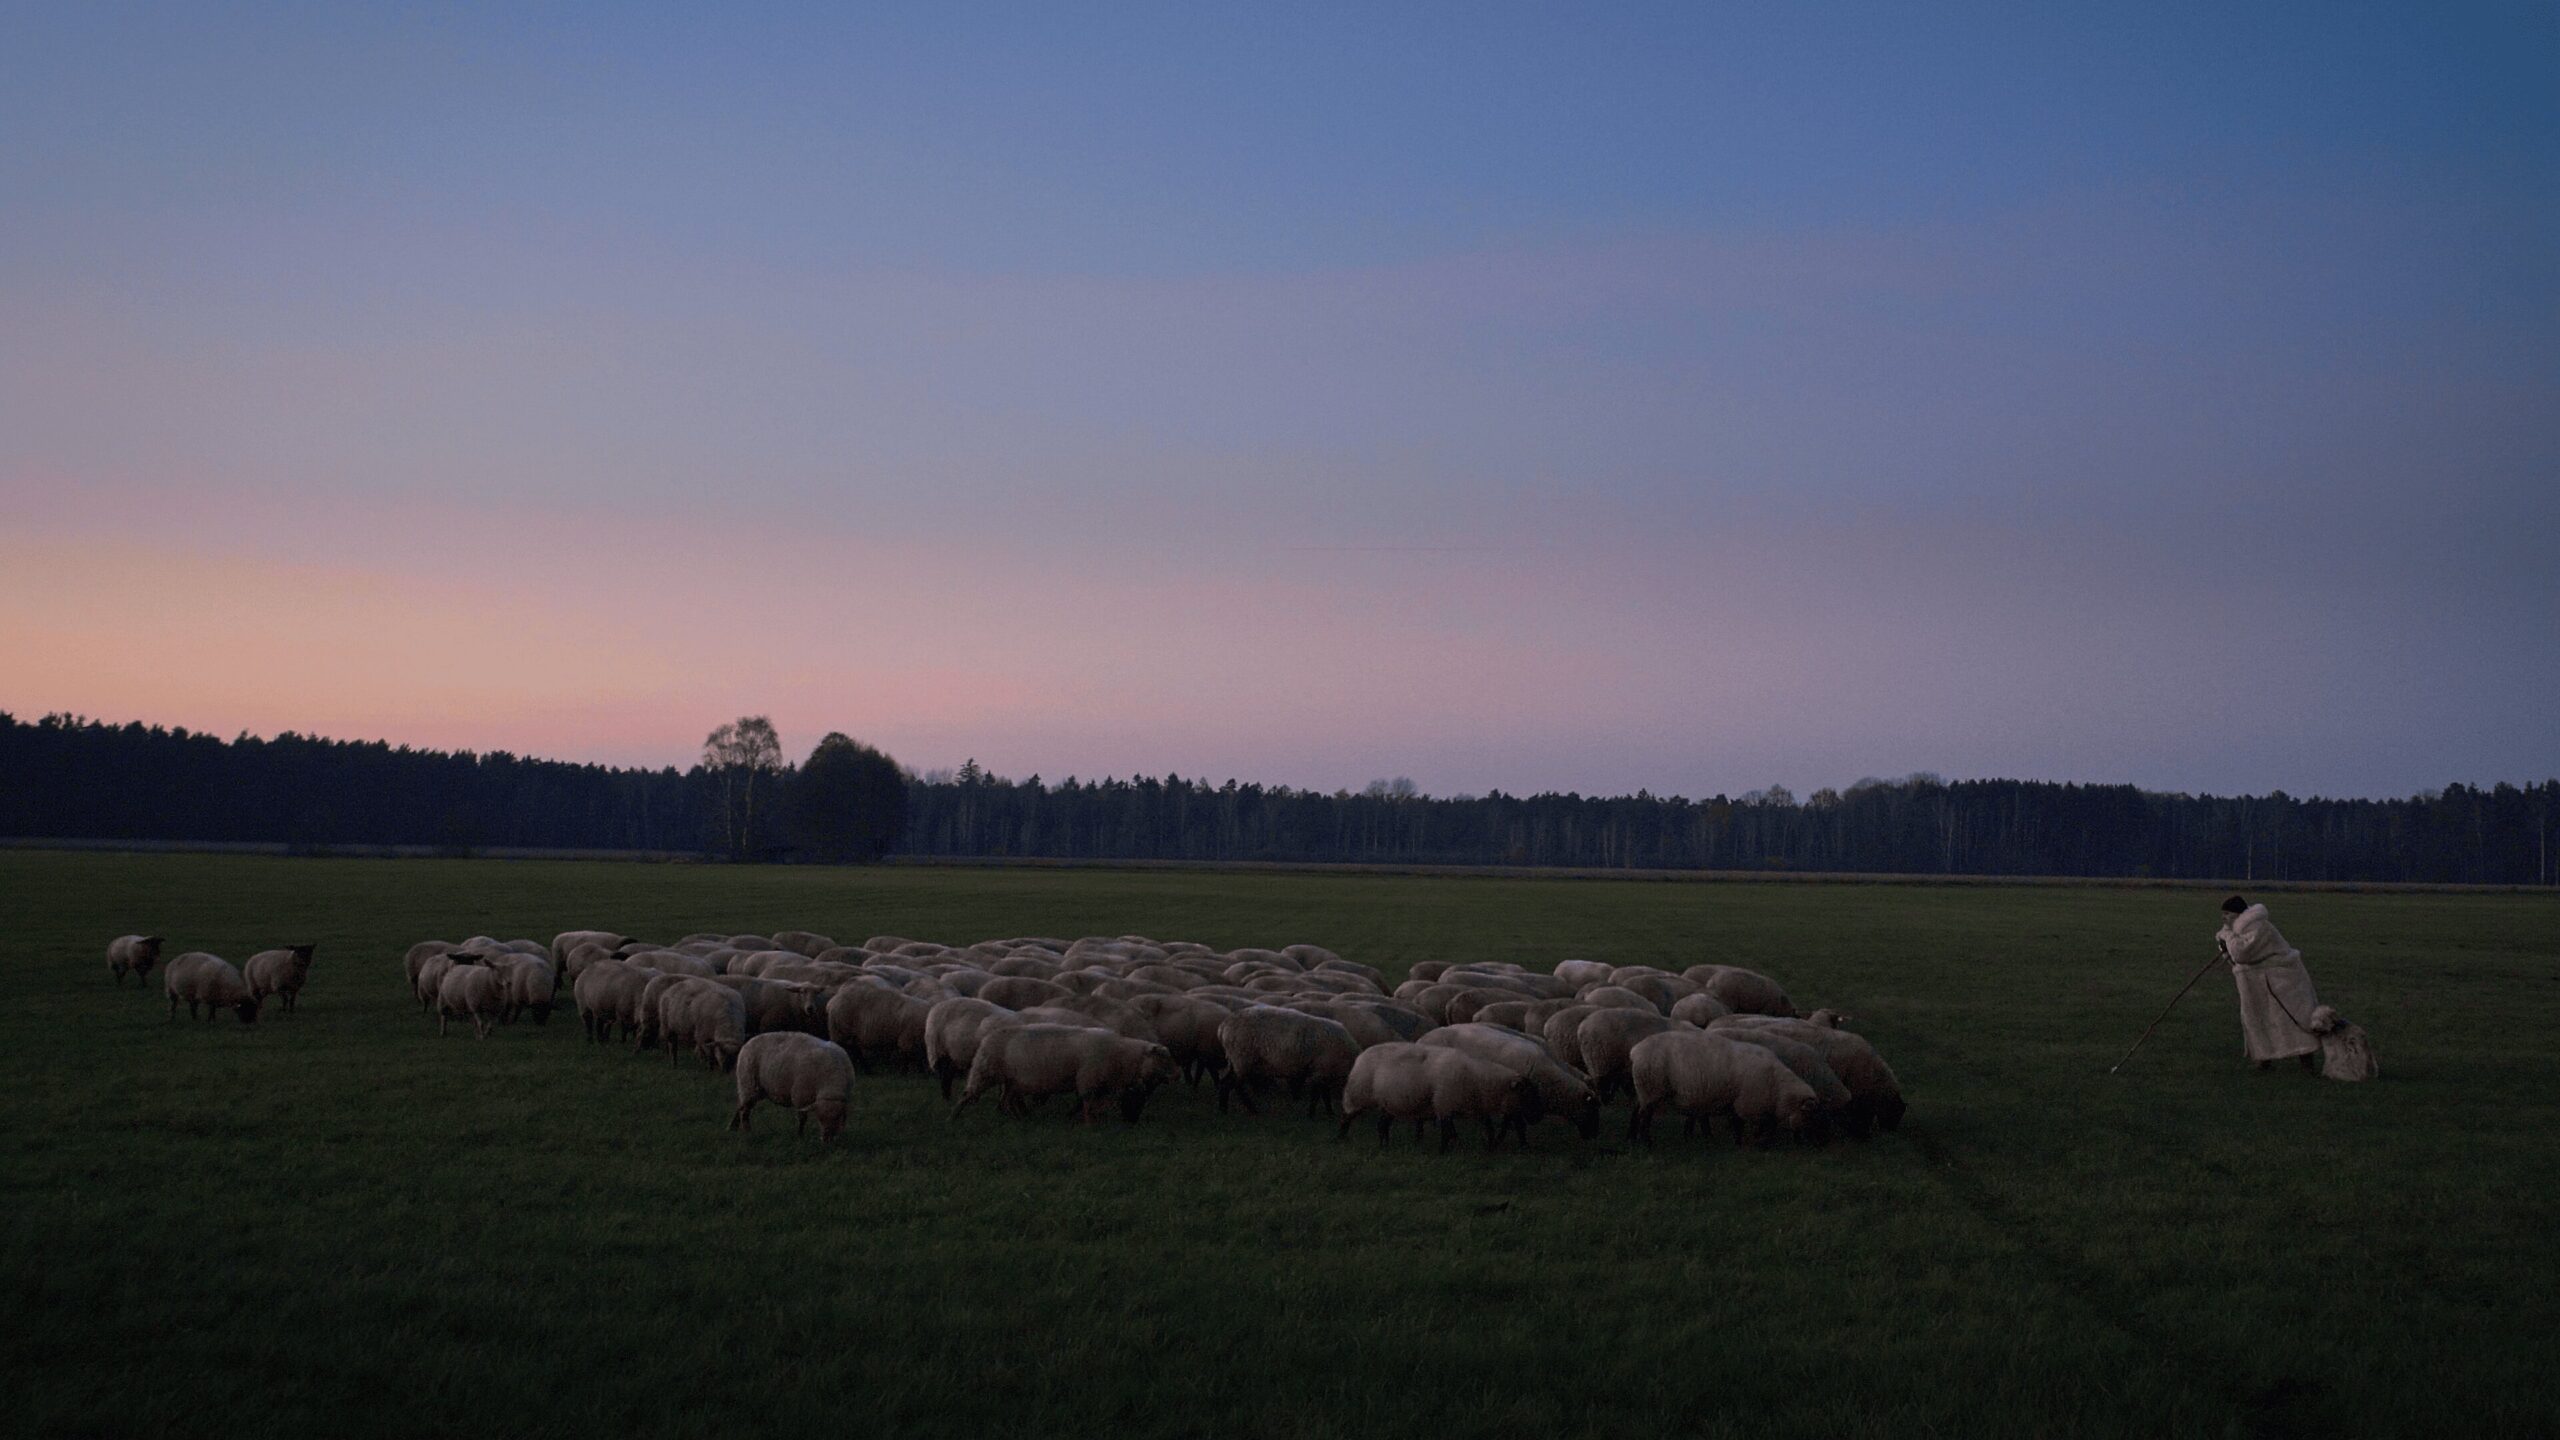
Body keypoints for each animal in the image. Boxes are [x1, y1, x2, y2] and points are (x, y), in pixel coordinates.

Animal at [732, 1024, 860, 1137]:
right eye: (820, 1118)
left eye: (838, 1117)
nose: (827, 1140)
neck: (831, 1078)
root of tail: (748, 1042)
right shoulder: (801, 1096)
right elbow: (802, 1118)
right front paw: (800, 1135)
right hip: (748, 1085)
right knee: (744, 1110)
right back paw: (747, 1131)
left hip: (752, 1089)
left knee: (739, 1105)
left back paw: (733, 1127)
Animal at [952, 1019, 1177, 1122]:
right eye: (1162, 1058)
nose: (1176, 1075)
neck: (1122, 1056)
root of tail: (986, 1038)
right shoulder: (1088, 1079)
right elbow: (1087, 1103)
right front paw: (1089, 1124)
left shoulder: (1100, 1084)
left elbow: (1092, 1104)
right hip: (984, 1071)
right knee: (967, 1094)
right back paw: (953, 1118)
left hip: (1011, 1080)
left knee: (1006, 1100)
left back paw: (1020, 1119)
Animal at [1213, 999, 1361, 1112]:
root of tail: (1223, 1026)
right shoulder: (1322, 1068)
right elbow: (1318, 1094)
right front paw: (1315, 1113)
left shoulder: (1322, 1071)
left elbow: (1323, 1093)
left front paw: (1328, 1112)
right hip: (1242, 1057)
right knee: (1233, 1084)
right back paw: (1242, 1109)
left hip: (1236, 1060)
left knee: (1228, 1082)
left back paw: (1228, 1108)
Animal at [1341, 1035, 1536, 1147]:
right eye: (1525, 1092)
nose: (1537, 1116)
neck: (1477, 1078)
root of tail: (1361, 1055)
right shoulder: (1444, 1103)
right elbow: (1446, 1131)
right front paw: (1445, 1150)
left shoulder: (1474, 1107)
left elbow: (1487, 1128)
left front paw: (1489, 1147)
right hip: (1358, 1094)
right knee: (1348, 1115)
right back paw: (1342, 1137)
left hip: (1390, 1103)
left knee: (1382, 1125)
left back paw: (1385, 1145)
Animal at [1628, 1024, 1832, 1137]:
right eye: (1809, 1115)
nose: (1815, 1141)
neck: (1777, 1087)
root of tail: (1636, 1050)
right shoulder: (1748, 1102)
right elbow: (1747, 1124)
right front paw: (1750, 1143)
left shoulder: (1740, 1101)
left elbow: (1742, 1121)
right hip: (1651, 1087)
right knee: (1645, 1117)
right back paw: (1646, 1142)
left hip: (1643, 1089)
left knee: (1636, 1110)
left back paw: (1632, 1137)